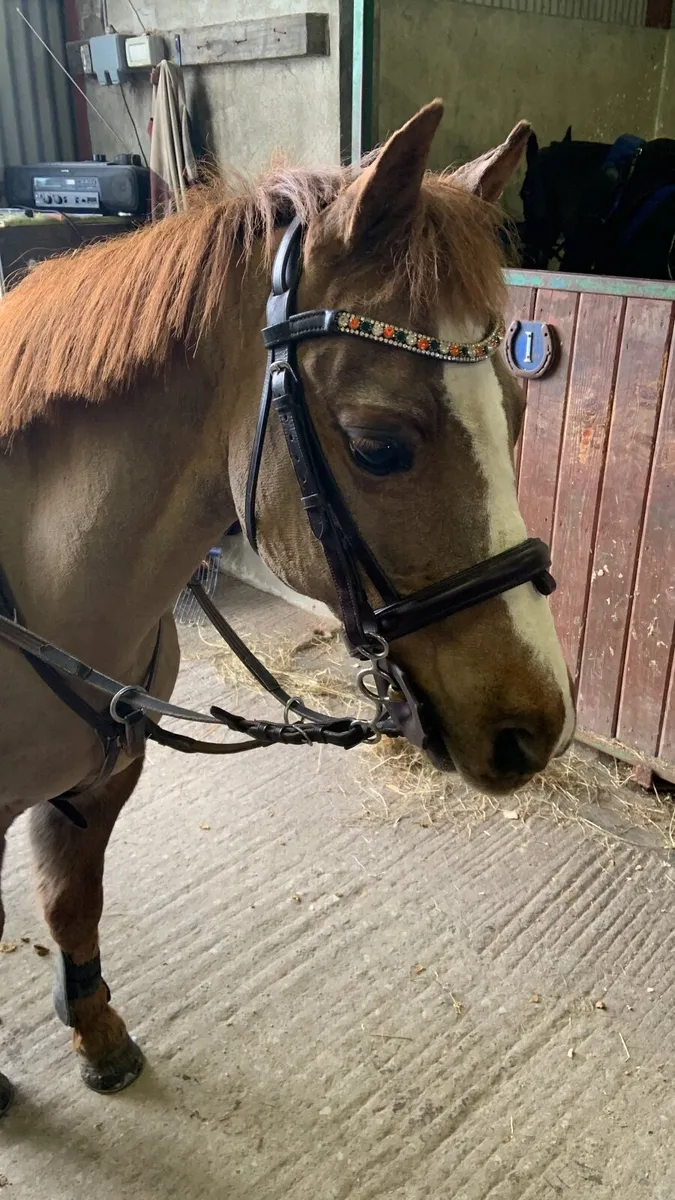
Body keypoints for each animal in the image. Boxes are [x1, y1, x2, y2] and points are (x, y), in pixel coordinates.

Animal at [0, 100, 575, 1115]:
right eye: (377, 445)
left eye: (513, 409)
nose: (533, 728)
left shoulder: (99, 781)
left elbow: (71, 902)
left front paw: (97, 1032)